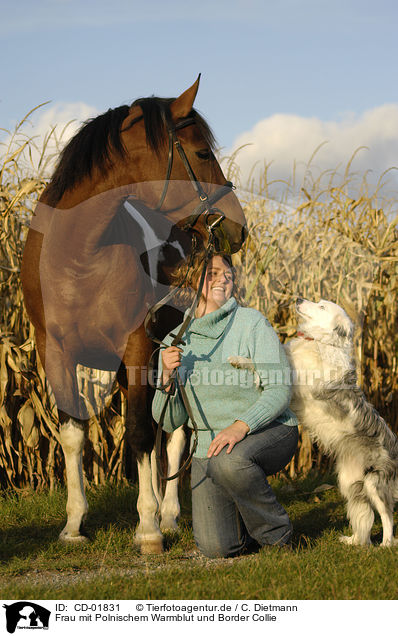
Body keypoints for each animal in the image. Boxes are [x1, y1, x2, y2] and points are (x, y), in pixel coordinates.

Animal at [21, 77, 247, 556]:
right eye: (202, 153)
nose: (237, 229)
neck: (78, 256)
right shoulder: (55, 352)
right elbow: (74, 433)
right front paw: (73, 525)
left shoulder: (138, 347)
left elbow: (141, 433)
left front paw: (148, 528)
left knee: (174, 436)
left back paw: (169, 516)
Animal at [230, 300, 398, 548]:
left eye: (322, 307)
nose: (299, 298)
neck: (317, 341)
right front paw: (239, 360)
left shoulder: (295, 379)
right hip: (350, 483)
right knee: (364, 517)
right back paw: (354, 541)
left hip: (375, 483)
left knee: (387, 515)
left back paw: (385, 544)